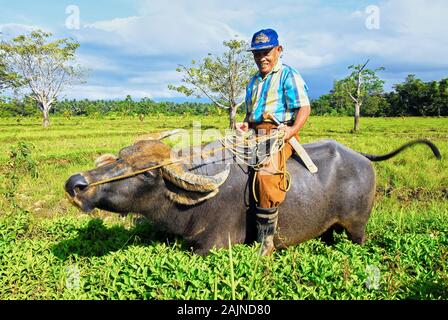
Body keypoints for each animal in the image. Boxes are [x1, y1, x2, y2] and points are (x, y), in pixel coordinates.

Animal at [65, 134, 440, 255]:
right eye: (121, 156)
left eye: (148, 172)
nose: (76, 184)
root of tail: (362, 157)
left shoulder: (213, 246)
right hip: (329, 228)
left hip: (357, 228)